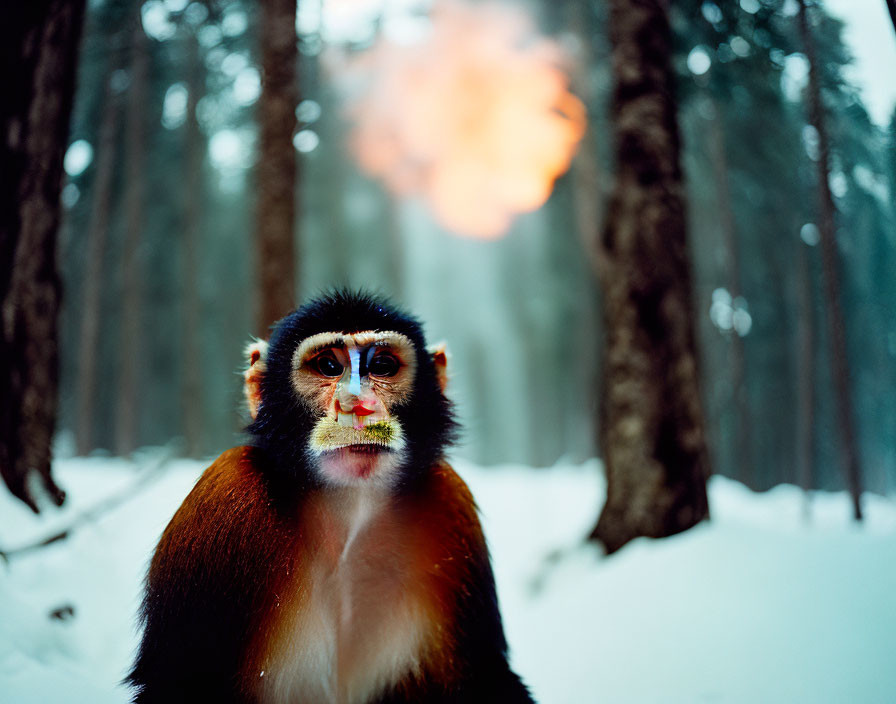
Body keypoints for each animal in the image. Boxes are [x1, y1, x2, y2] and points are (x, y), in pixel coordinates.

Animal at [125, 288, 532, 700]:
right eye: (328, 366)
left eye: (382, 365)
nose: (357, 405)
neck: (348, 517)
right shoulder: (225, 497)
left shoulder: (449, 504)